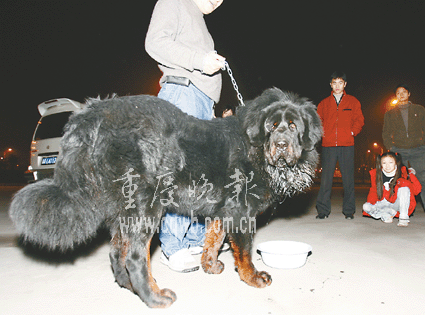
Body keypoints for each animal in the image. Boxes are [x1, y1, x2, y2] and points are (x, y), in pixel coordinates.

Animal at [9, 88, 322, 308]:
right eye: (272, 126)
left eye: (293, 126)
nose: (281, 145)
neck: (256, 148)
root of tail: (92, 114)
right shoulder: (240, 212)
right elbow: (244, 251)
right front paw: (253, 277)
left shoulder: (223, 211)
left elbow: (213, 239)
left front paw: (210, 266)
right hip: (147, 206)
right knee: (135, 256)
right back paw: (155, 298)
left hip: (124, 210)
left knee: (116, 253)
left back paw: (132, 288)